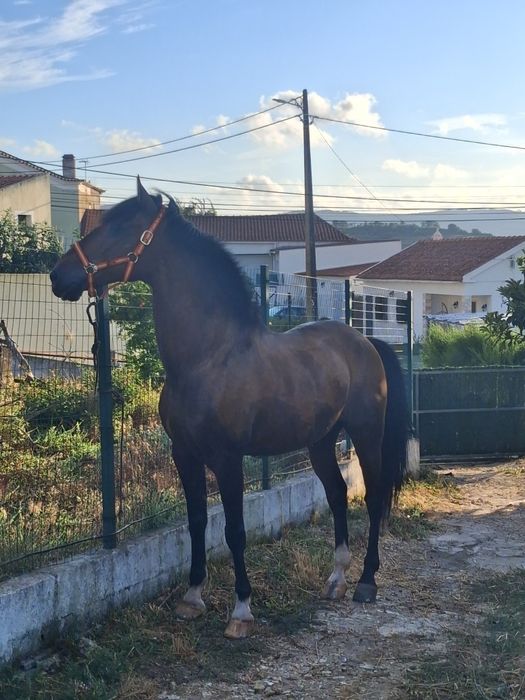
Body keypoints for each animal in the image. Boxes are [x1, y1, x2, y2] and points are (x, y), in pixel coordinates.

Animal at [50, 178, 409, 640]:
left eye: (118, 228)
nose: (59, 276)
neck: (208, 359)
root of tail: (365, 342)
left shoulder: (227, 458)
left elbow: (234, 530)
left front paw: (241, 609)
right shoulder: (184, 455)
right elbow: (197, 522)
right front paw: (192, 598)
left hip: (366, 434)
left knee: (375, 494)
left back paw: (366, 582)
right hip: (320, 442)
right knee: (337, 494)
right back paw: (336, 579)